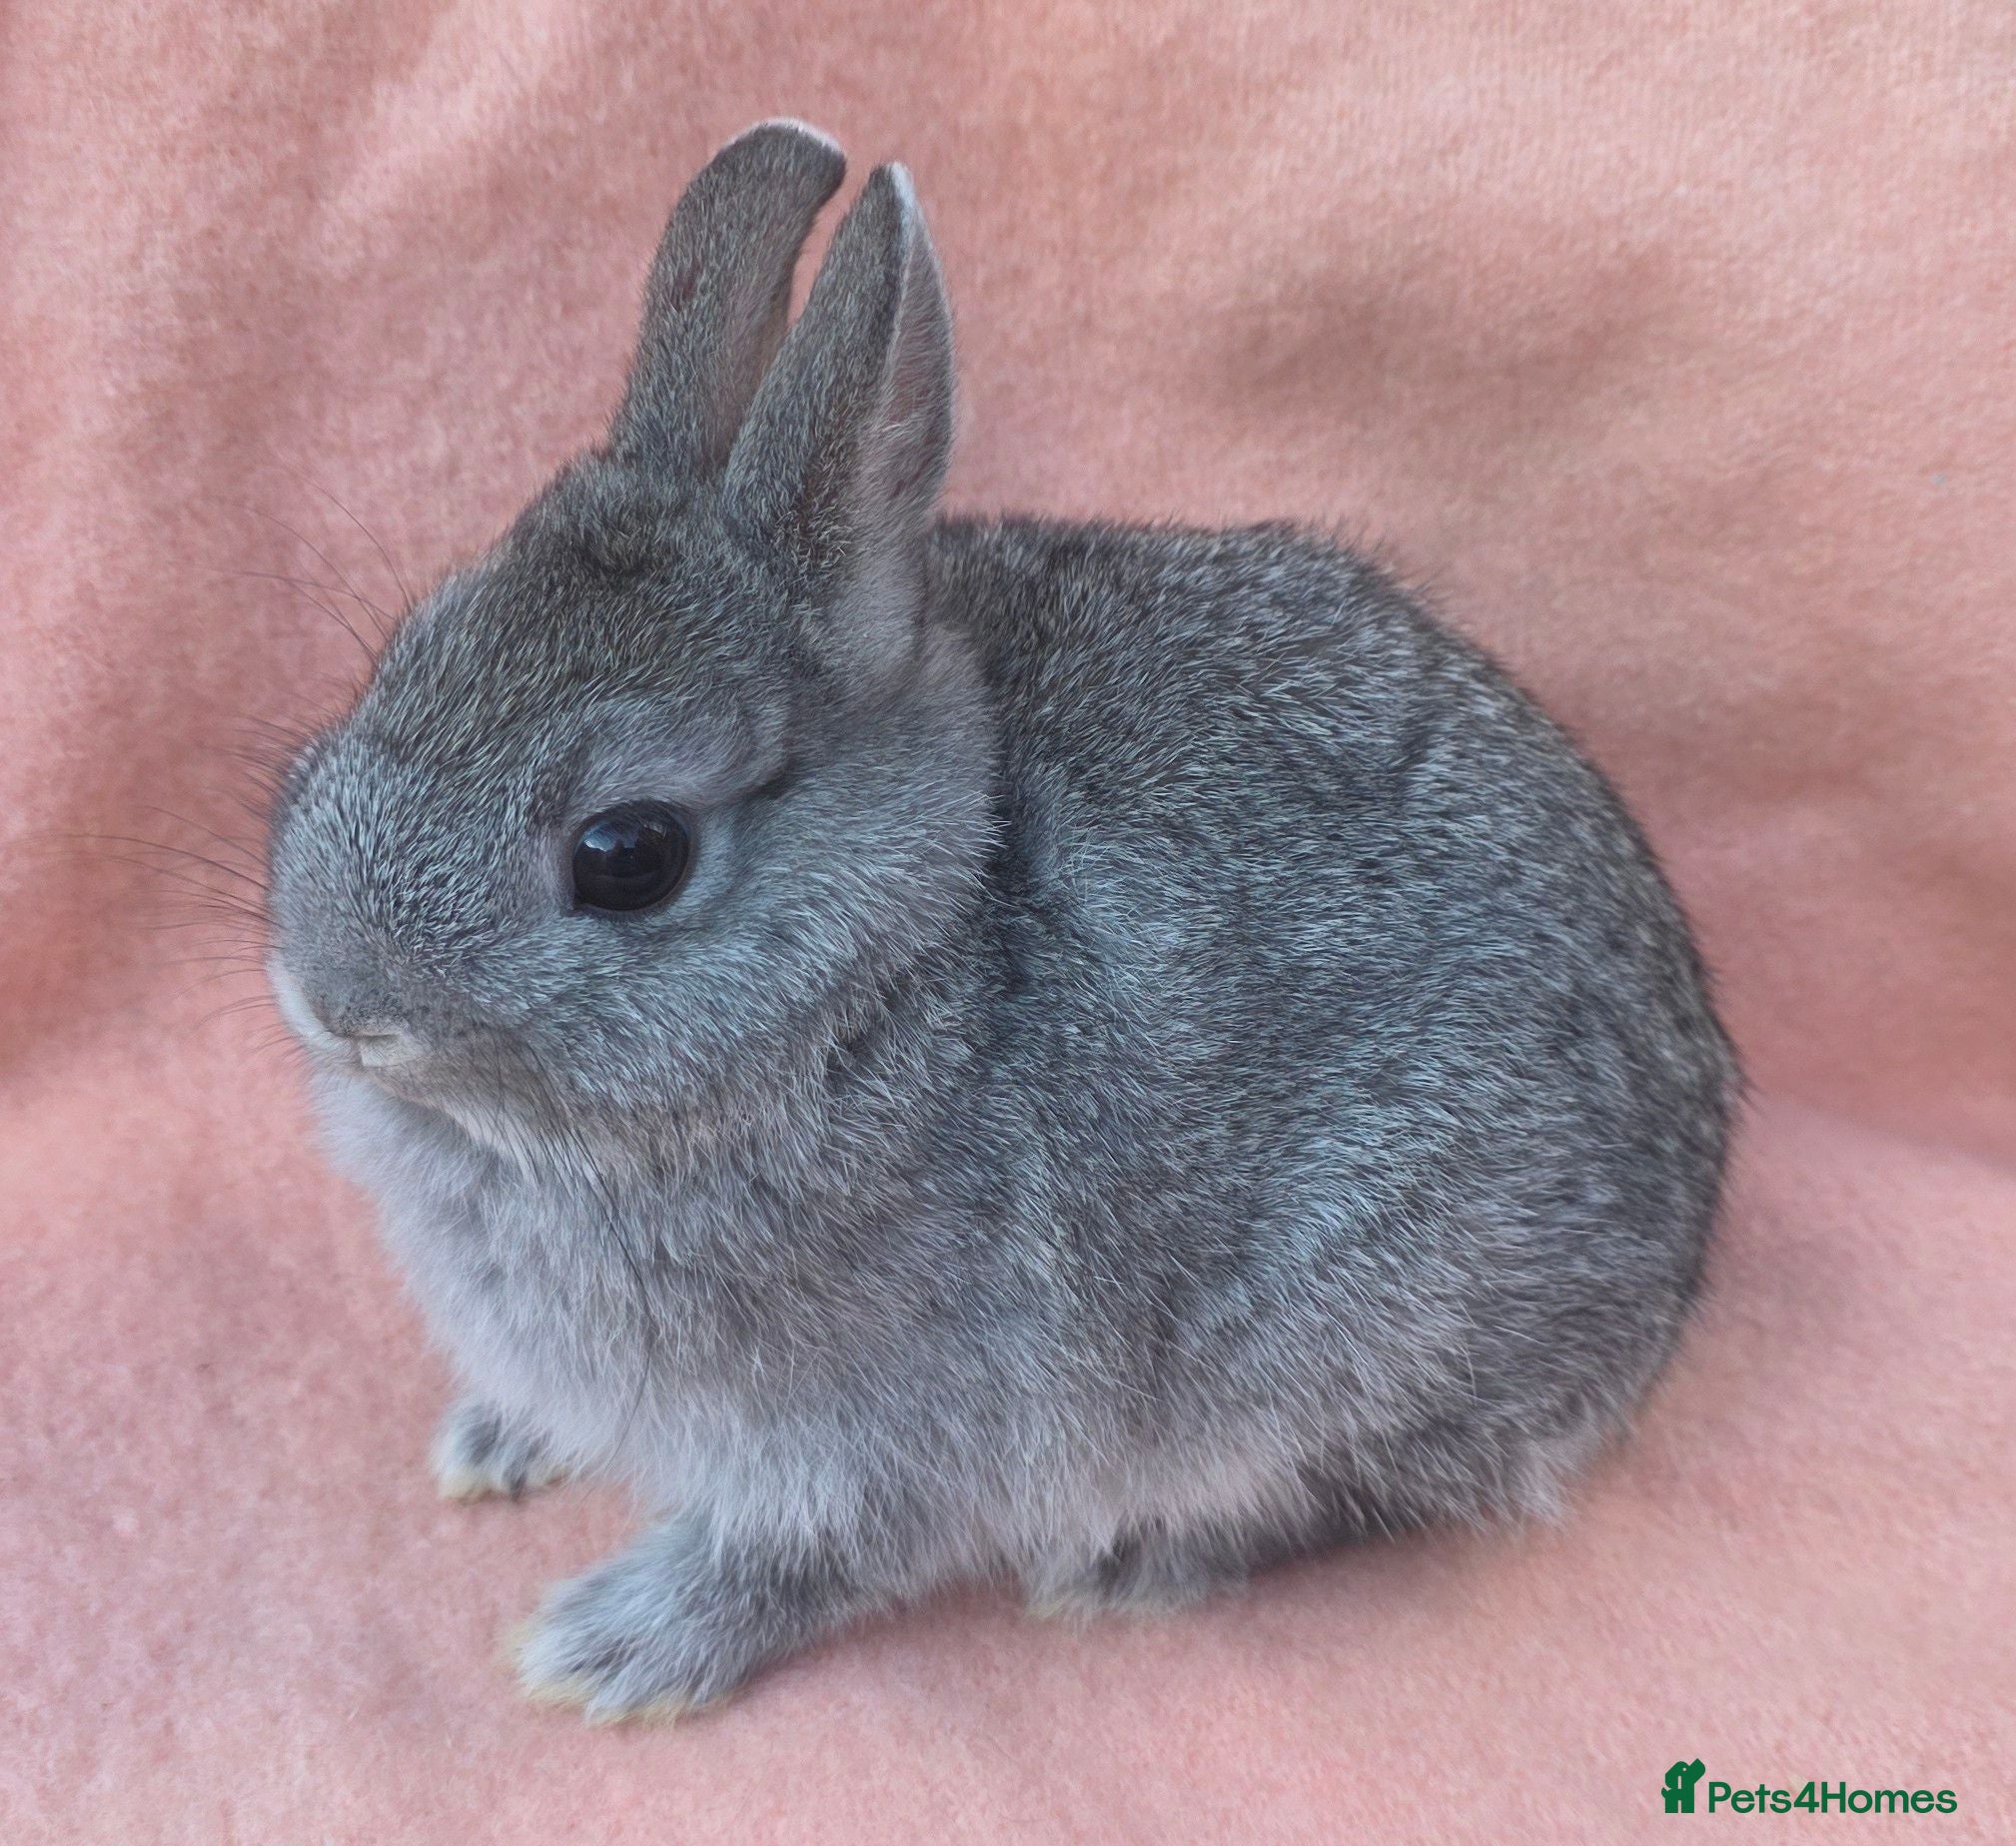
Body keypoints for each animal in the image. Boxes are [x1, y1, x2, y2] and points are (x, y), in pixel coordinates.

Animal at [264, 119, 1738, 1722]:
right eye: (402, 659)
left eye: (628, 855)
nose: (338, 999)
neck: (880, 975)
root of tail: (1673, 1269)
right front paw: (495, 1441)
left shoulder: (894, 1430)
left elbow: (802, 1554)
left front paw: (605, 1648)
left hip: (1368, 1326)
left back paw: (1120, 1569)